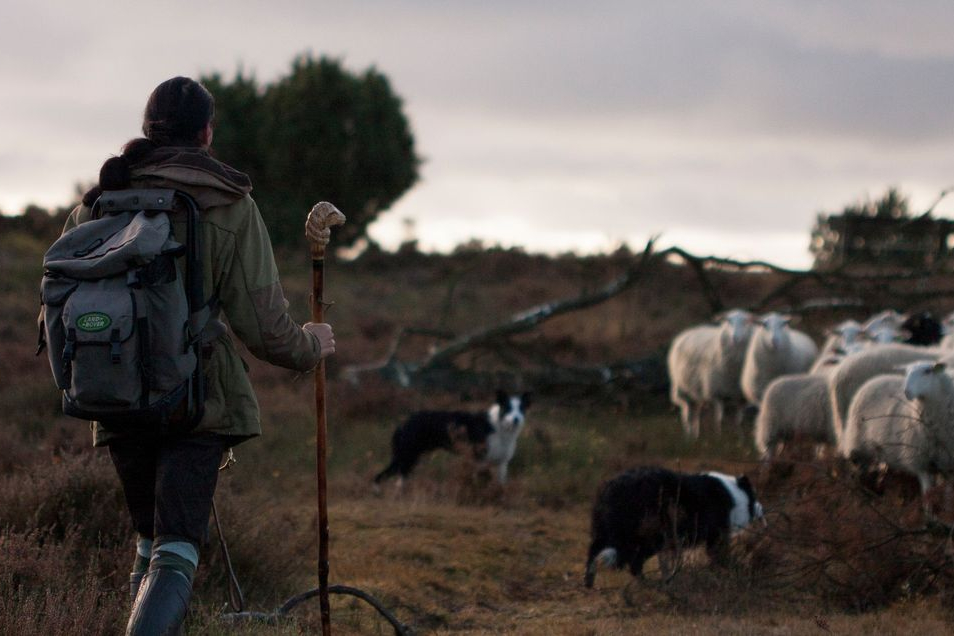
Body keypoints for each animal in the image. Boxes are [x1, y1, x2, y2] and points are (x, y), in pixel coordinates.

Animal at [372, 390, 532, 484]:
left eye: (521, 409)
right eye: (508, 409)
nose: (517, 419)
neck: (499, 426)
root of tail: (403, 423)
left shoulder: (502, 464)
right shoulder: (479, 459)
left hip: (409, 460)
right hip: (406, 456)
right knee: (380, 477)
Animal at [584, 468, 764, 588]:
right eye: (755, 496)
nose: (762, 509)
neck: (734, 494)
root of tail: (611, 488)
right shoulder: (715, 534)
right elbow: (718, 554)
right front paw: (734, 569)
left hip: (610, 530)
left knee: (595, 550)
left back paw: (589, 582)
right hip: (646, 534)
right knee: (634, 561)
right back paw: (649, 582)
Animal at [668, 310, 752, 440]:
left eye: (746, 322)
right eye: (728, 321)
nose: (735, 337)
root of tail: (687, 332)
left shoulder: (740, 396)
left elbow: (740, 421)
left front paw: (741, 440)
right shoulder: (717, 392)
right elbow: (720, 419)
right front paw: (720, 439)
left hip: (696, 392)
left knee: (696, 415)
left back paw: (696, 436)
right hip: (683, 389)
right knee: (688, 415)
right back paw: (688, 438)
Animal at [836, 360, 952, 494]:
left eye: (927, 371)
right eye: (906, 373)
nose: (906, 391)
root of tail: (876, 379)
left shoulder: (946, 462)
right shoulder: (918, 461)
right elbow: (926, 492)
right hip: (858, 446)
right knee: (859, 471)